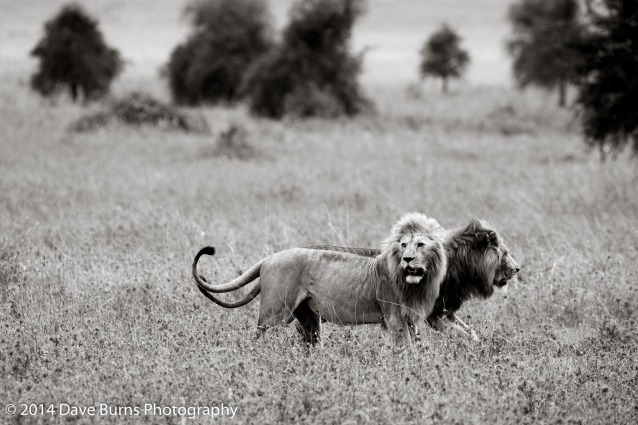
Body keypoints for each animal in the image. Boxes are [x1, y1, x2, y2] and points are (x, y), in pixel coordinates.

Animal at [192, 212, 448, 344]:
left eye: (420, 245)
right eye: (403, 245)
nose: (407, 259)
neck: (415, 284)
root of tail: (269, 258)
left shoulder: (410, 319)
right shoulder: (394, 319)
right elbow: (405, 349)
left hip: (309, 319)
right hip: (273, 314)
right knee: (257, 339)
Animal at [308, 217, 524, 340]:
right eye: (505, 253)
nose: (517, 269)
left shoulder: (445, 312)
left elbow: (469, 332)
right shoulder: (432, 315)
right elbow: (457, 335)